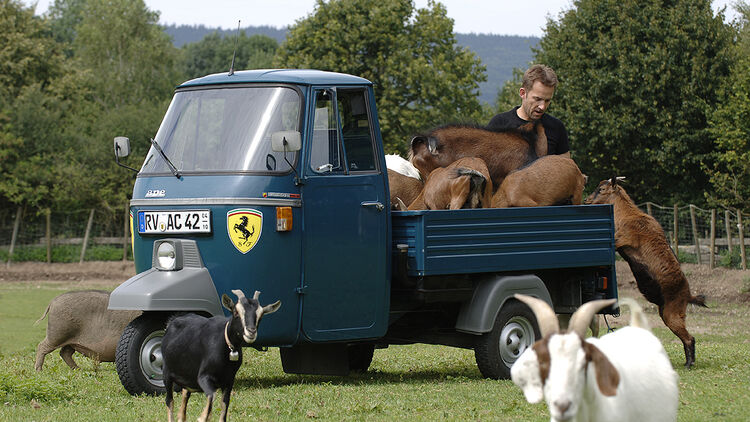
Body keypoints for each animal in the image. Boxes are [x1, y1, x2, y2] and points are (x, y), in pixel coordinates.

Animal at [162, 290, 282, 422]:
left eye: (260, 316)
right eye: (236, 312)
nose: (251, 332)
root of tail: (174, 320)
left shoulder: (229, 381)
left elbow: (225, 405)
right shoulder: (204, 377)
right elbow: (212, 395)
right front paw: (202, 417)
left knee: (185, 394)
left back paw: (181, 416)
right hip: (167, 373)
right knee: (169, 400)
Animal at [588, 176, 712, 368]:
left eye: (601, 189)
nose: (587, 200)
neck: (627, 215)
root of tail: (688, 295)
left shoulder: (621, 239)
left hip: (672, 314)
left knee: (690, 338)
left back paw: (689, 364)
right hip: (667, 313)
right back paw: (686, 362)